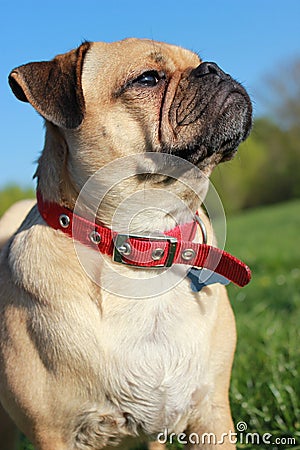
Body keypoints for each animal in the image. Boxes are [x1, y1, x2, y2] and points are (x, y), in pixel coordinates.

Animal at [0, 39, 252, 450]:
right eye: (147, 79)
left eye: (201, 63)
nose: (213, 69)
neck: (145, 242)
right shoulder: (55, 434)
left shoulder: (211, 415)